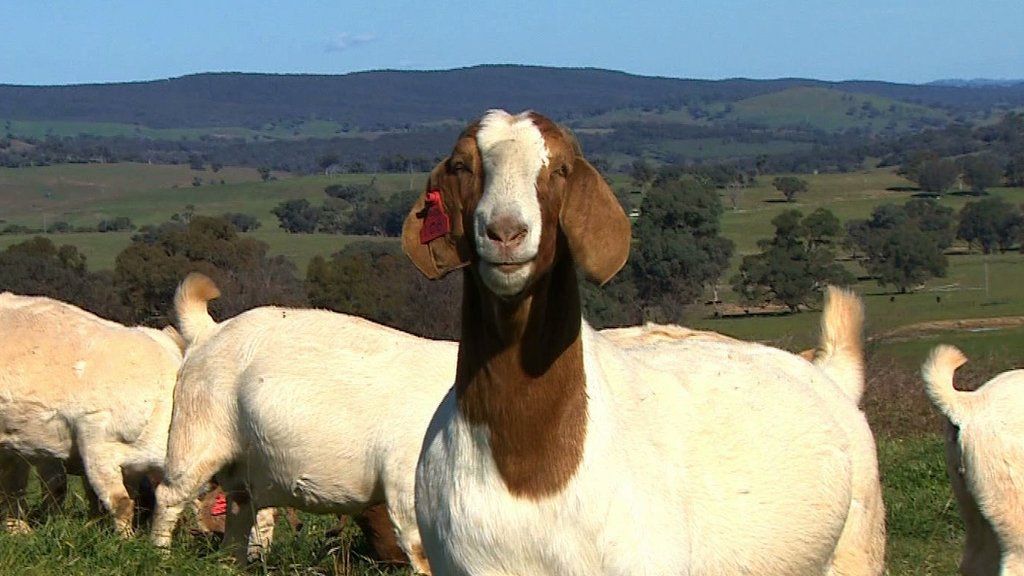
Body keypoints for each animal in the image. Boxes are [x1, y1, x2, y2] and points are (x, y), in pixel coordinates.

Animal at [150, 273, 456, 572]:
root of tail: (209, 330)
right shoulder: (407, 487)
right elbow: (423, 552)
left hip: (243, 468)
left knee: (239, 511)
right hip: (196, 439)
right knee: (169, 496)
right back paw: (161, 558)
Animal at [403, 109, 885, 575]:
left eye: (560, 169)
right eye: (462, 166)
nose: (505, 232)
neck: (528, 469)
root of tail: (828, 372)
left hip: (858, 545)